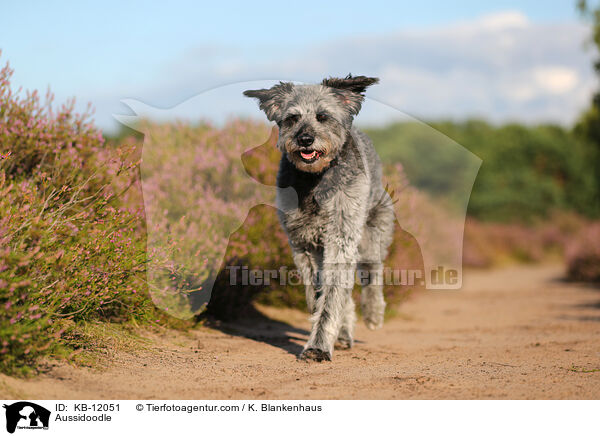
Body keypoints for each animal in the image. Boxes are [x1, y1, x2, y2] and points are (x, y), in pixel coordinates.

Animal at [244, 75, 394, 362]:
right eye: (292, 118)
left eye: (322, 116)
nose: (305, 139)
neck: (315, 180)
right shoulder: (304, 243)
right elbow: (320, 296)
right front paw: (328, 332)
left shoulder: (341, 238)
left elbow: (332, 295)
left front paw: (318, 346)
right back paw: (345, 333)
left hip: (373, 230)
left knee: (372, 272)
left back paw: (373, 313)